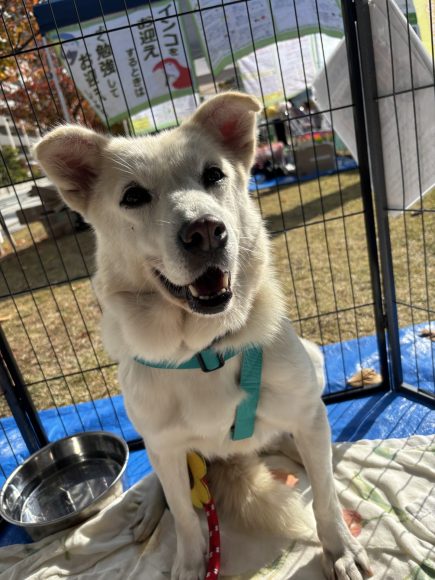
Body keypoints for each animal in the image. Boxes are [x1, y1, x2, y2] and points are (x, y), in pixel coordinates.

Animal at [35, 92, 371, 580]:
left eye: (213, 175)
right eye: (133, 196)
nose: (207, 231)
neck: (203, 350)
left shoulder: (309, 416)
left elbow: (324, 496)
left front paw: (339, 547)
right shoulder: (165, 444)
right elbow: (186, 519)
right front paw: (191, 562)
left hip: (314, 364)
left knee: (296, 448)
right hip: (157, 437)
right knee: (165, 477)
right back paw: (149, 505)